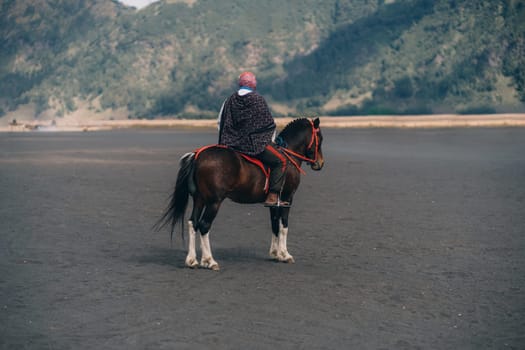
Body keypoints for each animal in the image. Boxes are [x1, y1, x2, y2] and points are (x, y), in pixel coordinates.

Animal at [154, 117, 322, 270]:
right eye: (320, 139)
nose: (320, 163)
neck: (289, 155)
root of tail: (198, 155)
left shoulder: (274, 202)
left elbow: (275, 225)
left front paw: (275, 253)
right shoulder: (287, 198)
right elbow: (284, 226)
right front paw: (285, 254)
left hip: (199, 199)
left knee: (193, 223)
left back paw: (192, 260)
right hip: (214, 202)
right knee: (204, 225)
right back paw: (209, 261)